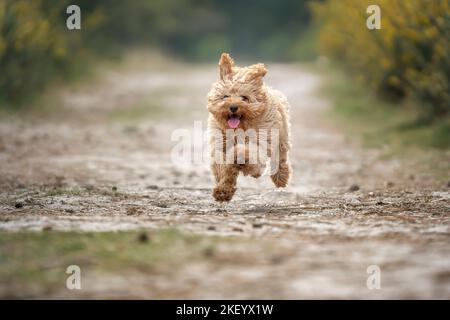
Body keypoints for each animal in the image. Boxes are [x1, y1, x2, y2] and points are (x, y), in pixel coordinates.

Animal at [207, 53, 292, 201]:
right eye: (225, 96)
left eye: (244, 97)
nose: (233, 107)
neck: (239, 129)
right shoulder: (220, 145)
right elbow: (223, 169)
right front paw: (223, 190)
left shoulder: (260, 140)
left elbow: (249, 153)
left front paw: (240, 156)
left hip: (281, 137)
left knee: (280, 157)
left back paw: (281, 177)